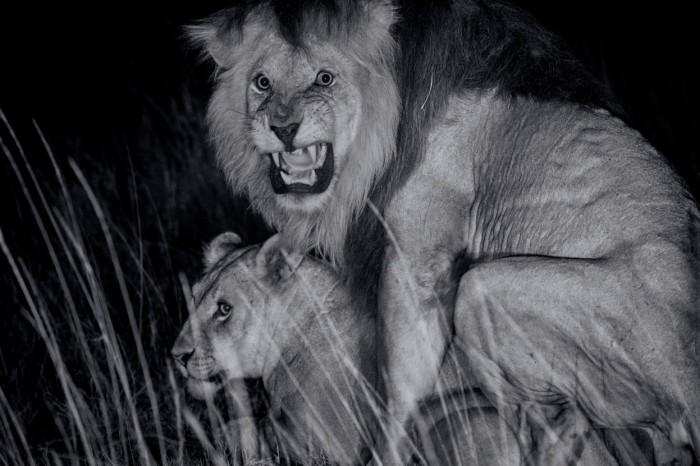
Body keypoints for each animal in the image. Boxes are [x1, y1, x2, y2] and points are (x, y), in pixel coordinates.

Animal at [188, 0, 700, 464]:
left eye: (324, 78)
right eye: (262, 82)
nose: (283, 127)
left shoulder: (417, 259)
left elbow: (400, 383)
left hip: (488, 291)